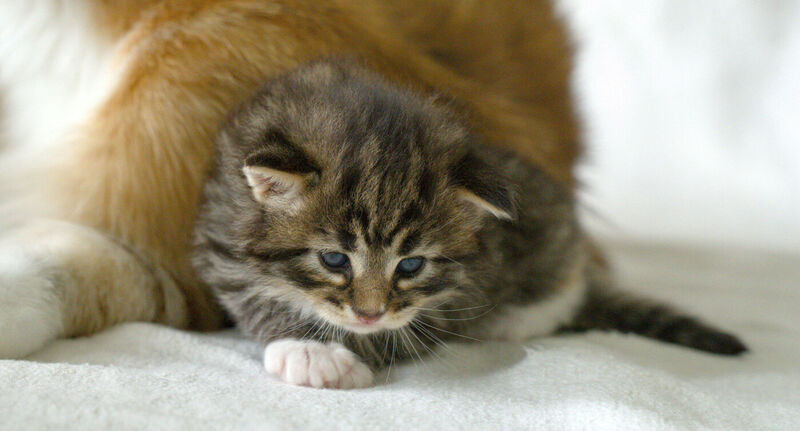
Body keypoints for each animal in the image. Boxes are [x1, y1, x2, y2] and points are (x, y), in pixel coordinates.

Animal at [192, 59, 744, 390]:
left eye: (411, 266)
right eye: (333, 259)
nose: (369, 313)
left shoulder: (462, 286)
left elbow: (407, 328)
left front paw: (339, 352)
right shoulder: (220, 233)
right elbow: (254, 295)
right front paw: (309, 348)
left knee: (565, 280)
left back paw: (515, 317)